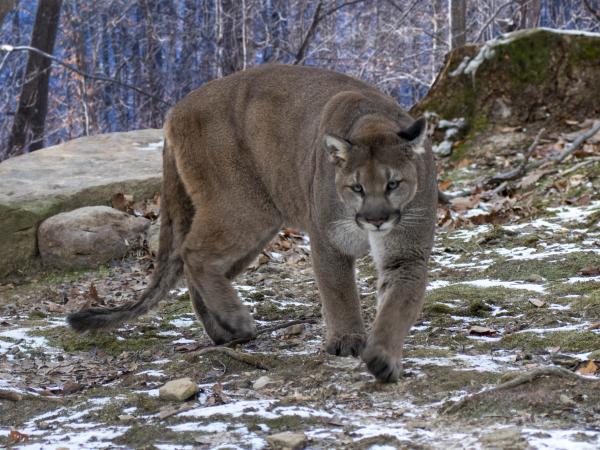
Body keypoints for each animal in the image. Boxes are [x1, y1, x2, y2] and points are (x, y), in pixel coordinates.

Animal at [69, 65, 436, 382]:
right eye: (357, 187)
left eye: (393, 184)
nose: (376, 220)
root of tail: (176, 110)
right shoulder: (329, 241)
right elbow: (339, 292)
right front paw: (347, 341)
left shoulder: (407, 252)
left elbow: (399, 304)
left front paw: (383, 357)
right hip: (245, 208)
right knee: (193, 252)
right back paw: (238, 322)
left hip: (257, 226)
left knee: (196, 266)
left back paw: (223, 330)